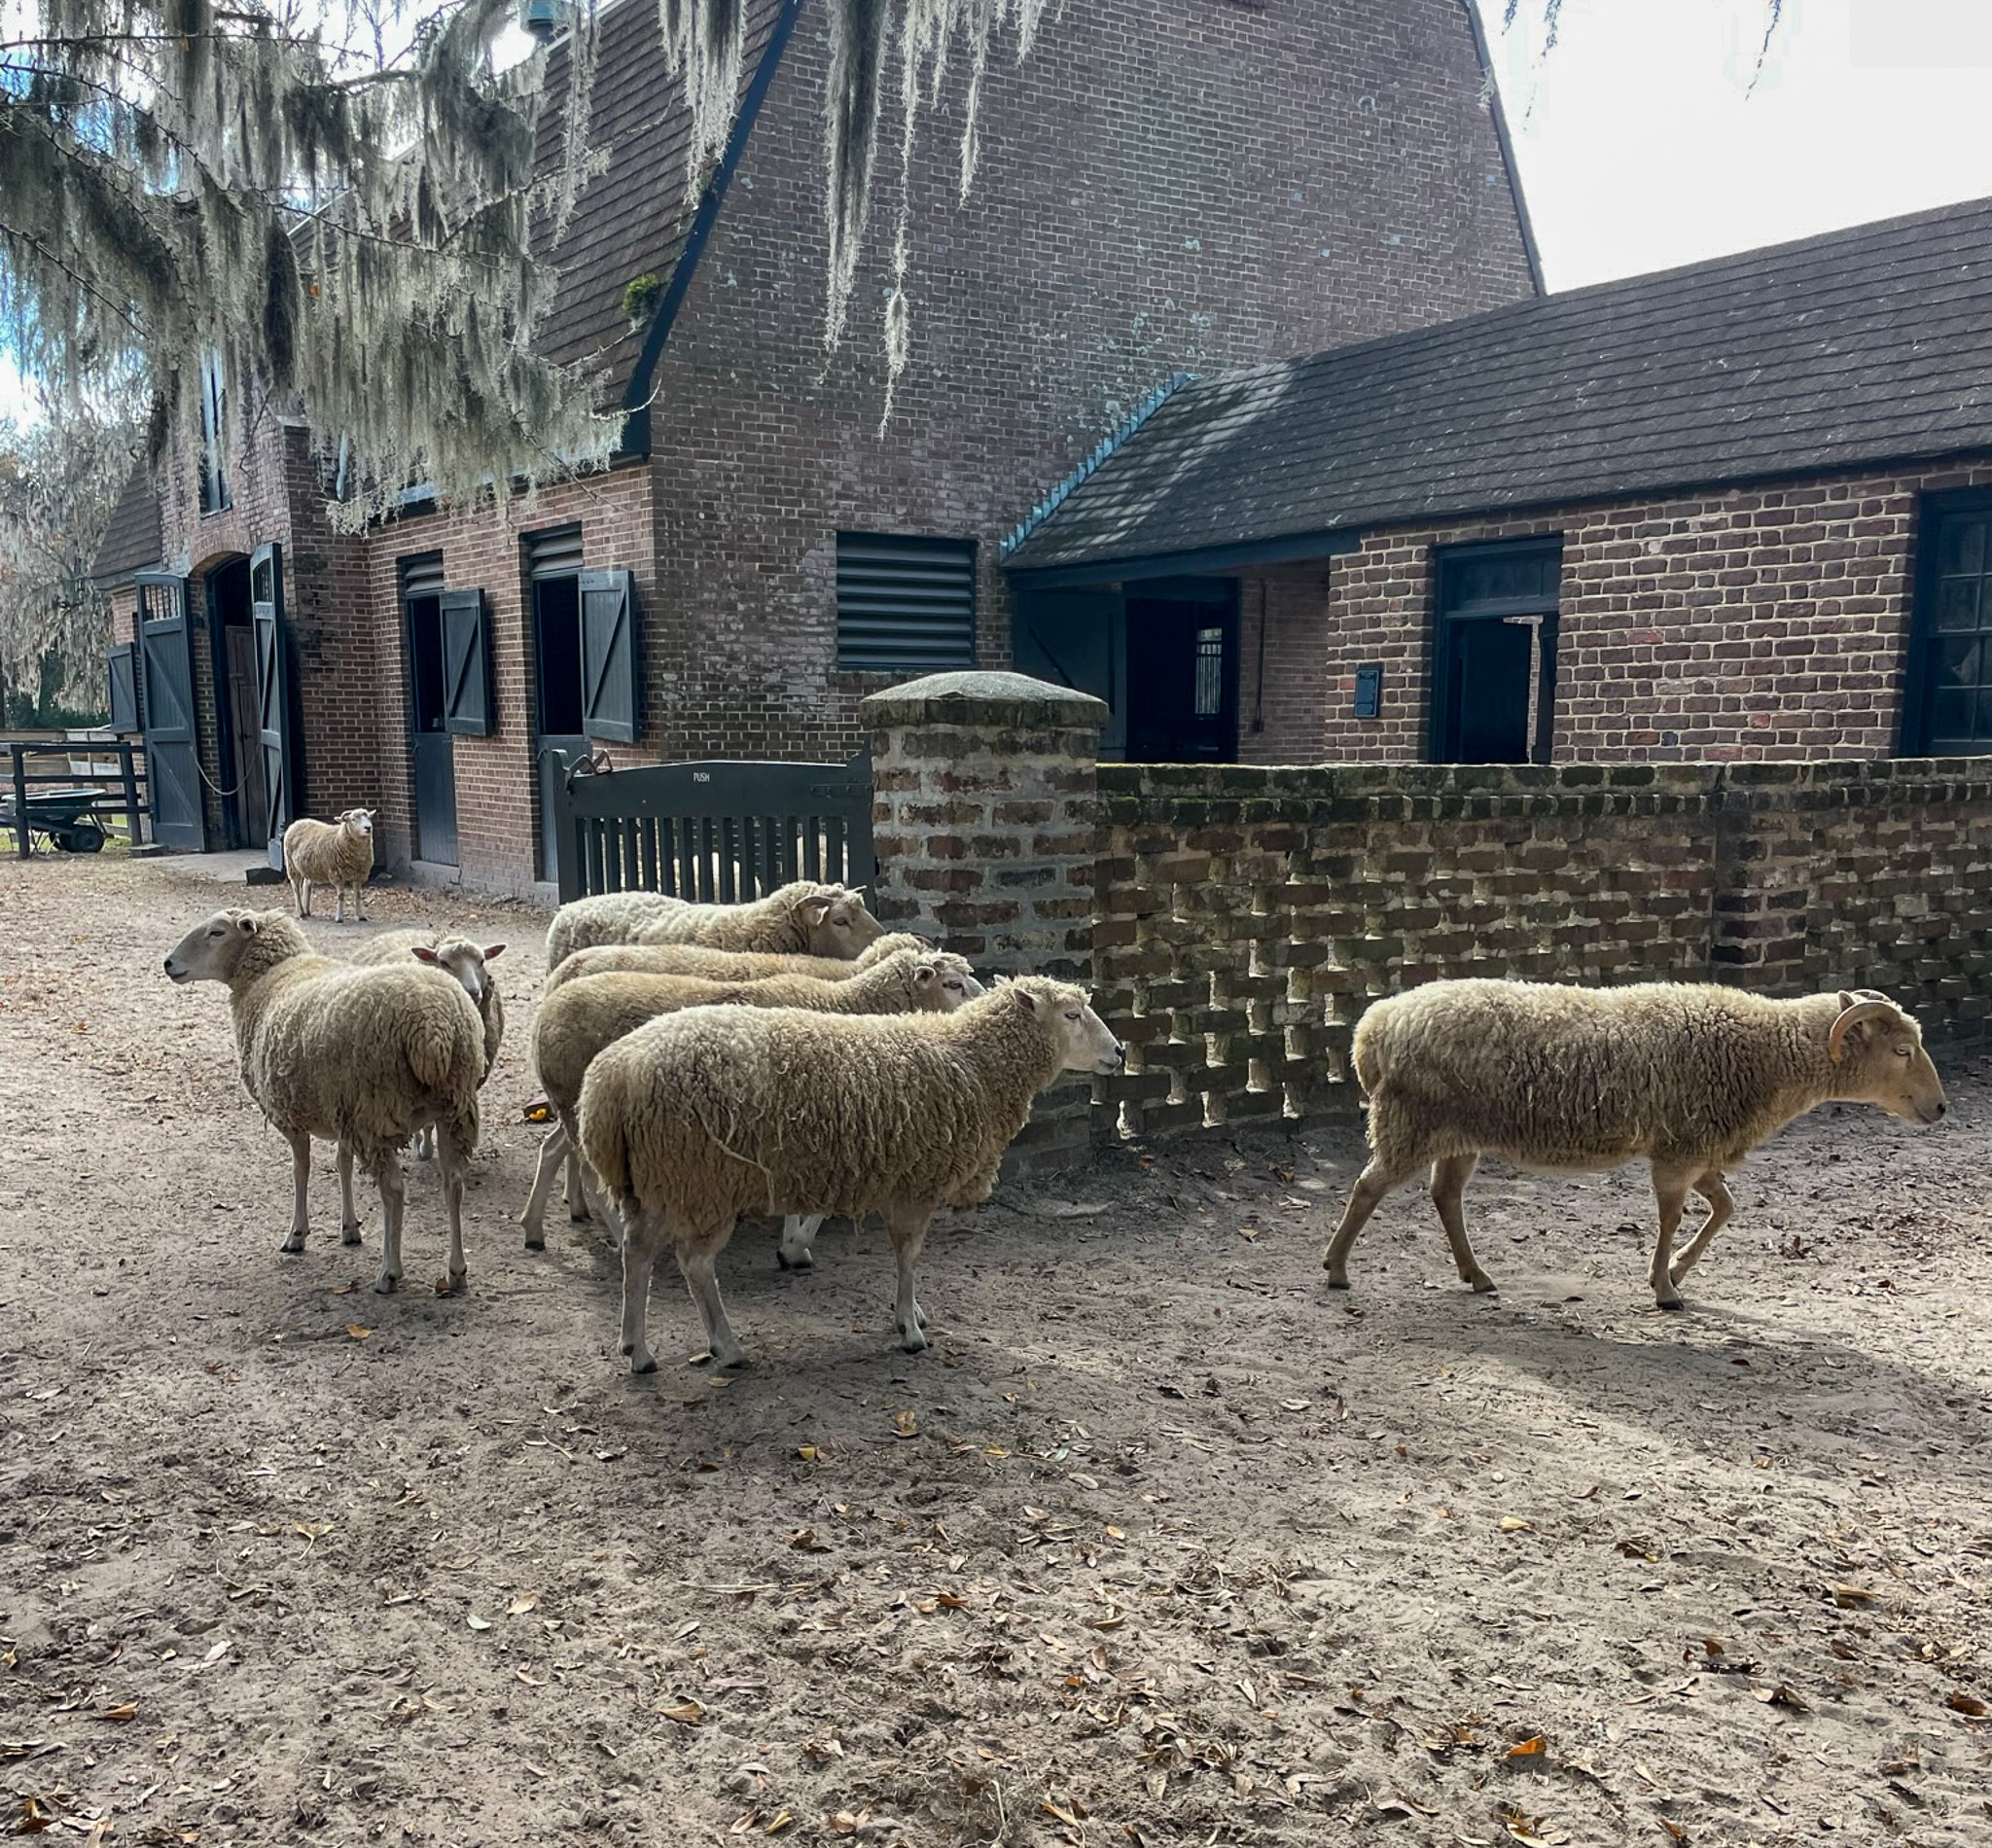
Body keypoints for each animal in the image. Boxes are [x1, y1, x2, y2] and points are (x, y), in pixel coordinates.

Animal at [163, 908, 484, 1295]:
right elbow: (342, 1163)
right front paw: (350, 1228)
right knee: (454, 1183)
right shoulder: (340, 1110)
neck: (269, 978)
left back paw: (389, 1273)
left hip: (375, 1109)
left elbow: (301, 1169)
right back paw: (457, 1272)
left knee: (393, 1191)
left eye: (217, 932)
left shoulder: (291, 1112)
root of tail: (433, 1028)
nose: (168, 963)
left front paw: (297, 1234)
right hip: (453, 1108)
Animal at [520, 947, 984, 1252]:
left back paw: (535, 1228)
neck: (845, 1001)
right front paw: (794, 1243)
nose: (983, 1006)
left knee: (553, 1149)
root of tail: (545, 1013)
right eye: (953, 983)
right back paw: (615, 1237)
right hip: (591, 1114)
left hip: (575, 1109)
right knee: (592, 1177)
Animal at [577, 975, 1124, 1374]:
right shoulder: (915, 1185)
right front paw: (909, 1329)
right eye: (1072, 1015)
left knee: (637, 1251)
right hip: (699, 1178)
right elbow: (908, 1257)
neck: (973, 1063)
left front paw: (912, 1313)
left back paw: (637, 1349)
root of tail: (611, 1077)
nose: (1119, 1053)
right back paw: (725, 1348)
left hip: (661, 1181)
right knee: (692, 1263)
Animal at [1321, 980, 1949, 1310]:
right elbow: (1672, 1215)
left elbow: (1725, 1208)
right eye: (1900, 1052)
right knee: (1368, 1187)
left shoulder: (1697, 1146)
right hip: (1411, 1121)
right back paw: (1336, 1269)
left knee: (1445, 1196)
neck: (1763, 1054)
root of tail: (1372, 1029)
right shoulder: (1680, 1148)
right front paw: (1666, 1287)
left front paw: (1677, 1270)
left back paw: (1477, 1276)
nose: (1941, 1108)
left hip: (1457, 1133)